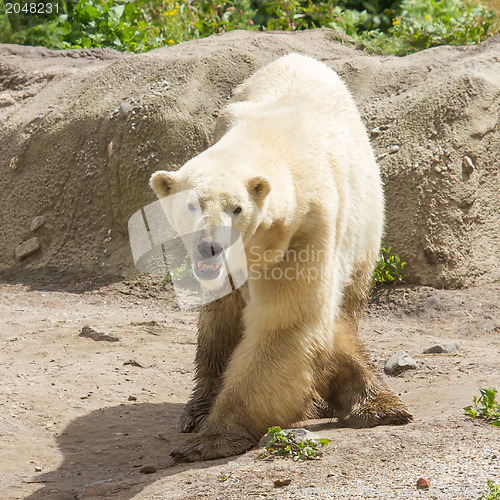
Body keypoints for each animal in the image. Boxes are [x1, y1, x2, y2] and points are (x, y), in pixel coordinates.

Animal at [148, 52, 410, 462]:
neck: (271, 137)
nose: (210, 247)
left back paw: (373, 402)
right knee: (220, 319)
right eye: (191, 205)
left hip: (365, 227)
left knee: (343, 310)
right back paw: (198, 407)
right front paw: (205, 426)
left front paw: (212, 439)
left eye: (237, 208)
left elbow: (285, 324)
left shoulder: (304, 229)